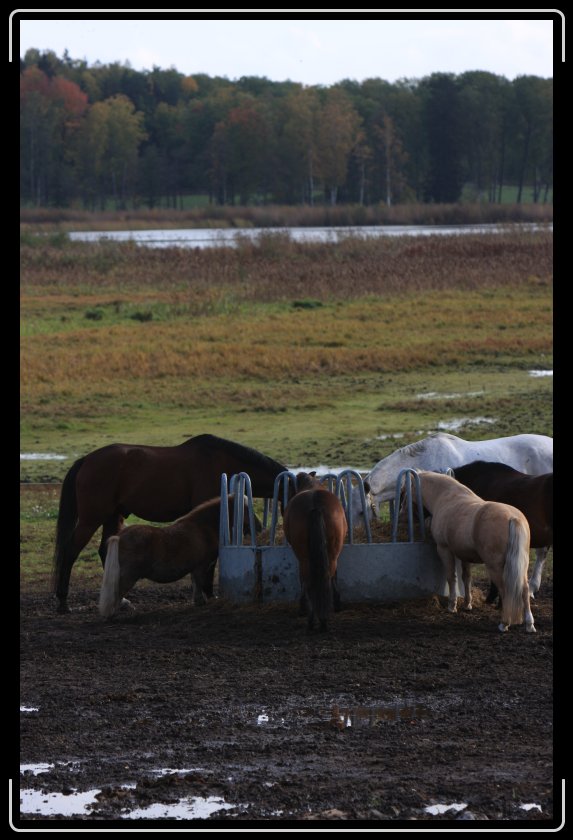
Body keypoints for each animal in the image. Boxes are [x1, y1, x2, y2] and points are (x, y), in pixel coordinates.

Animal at [99, 492, 250, 616]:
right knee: (116, 593)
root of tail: (119, 536)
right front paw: (202, 601)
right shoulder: (202, 566)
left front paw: (198, 601)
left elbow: (195, 583)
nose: (254, 528)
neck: (202, 528)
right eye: (246, 509)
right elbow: (200, 582)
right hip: (128, 576)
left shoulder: (196, 568)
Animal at [282, 472, 346, 632]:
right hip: (331, 556)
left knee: (309, 580)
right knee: (326, 576)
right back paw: (322, 619)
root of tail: (315, 504)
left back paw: (312, 619)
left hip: (305, 558)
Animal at [414, 470, 536, 632]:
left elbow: (451, 577)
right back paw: (529, 624)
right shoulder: (464, 555)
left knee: (505, 590)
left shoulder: (444, 549)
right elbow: (466, 578)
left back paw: (504, 623)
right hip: (521, 566)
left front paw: (452, 606)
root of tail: (513, 518)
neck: (446, 498)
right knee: (524, 590)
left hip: (495, 567)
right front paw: (467, 605)